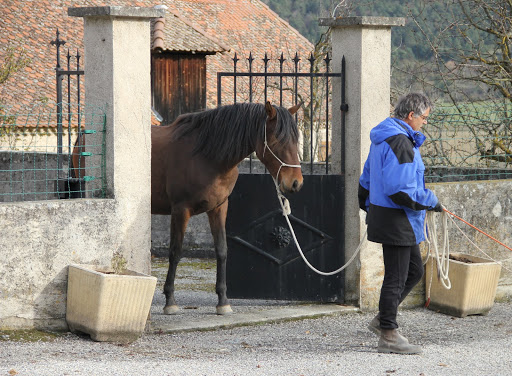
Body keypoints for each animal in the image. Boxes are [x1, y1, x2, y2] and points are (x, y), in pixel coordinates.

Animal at [152, 100, 304, 314]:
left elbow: (222, 250)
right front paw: (170, 301)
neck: (204, 155)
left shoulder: (219, 207)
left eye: (296, 139)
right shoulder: (180, 210)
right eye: (276, 139)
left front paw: (223, 301)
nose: (296, 183)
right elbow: (175, 251)